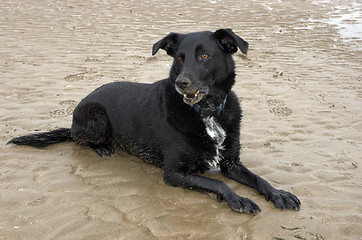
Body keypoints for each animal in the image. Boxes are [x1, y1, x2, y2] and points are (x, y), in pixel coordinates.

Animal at [7, 28, 300, 214]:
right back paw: (102, 147)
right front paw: (238, 198)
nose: (181, 83)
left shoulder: (231, 163)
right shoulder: (174, 173)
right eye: (180, 58)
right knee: (79, 139)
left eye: (204, 56)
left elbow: (259, 179)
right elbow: (218, 183)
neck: (205, 112)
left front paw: (278, 193)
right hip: (95, 119)